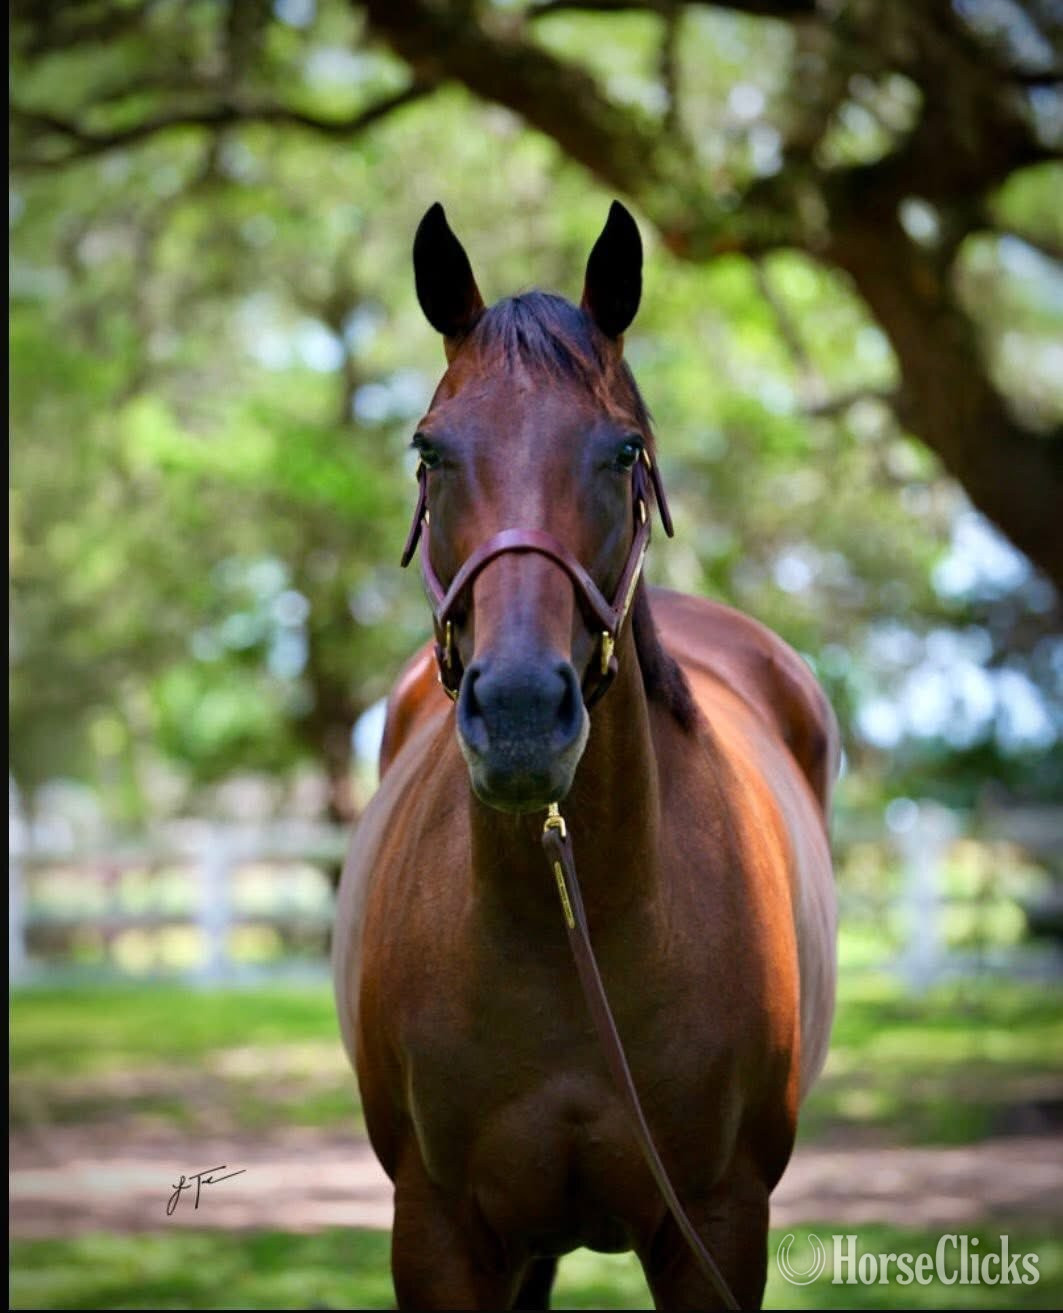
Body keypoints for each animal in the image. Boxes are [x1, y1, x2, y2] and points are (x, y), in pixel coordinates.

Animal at [333, 200, 838, 1310]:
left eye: (622, 451)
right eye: (430, 451)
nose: (523, 712)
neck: (571, 928)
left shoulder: (717, 1228)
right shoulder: (439, 1233)